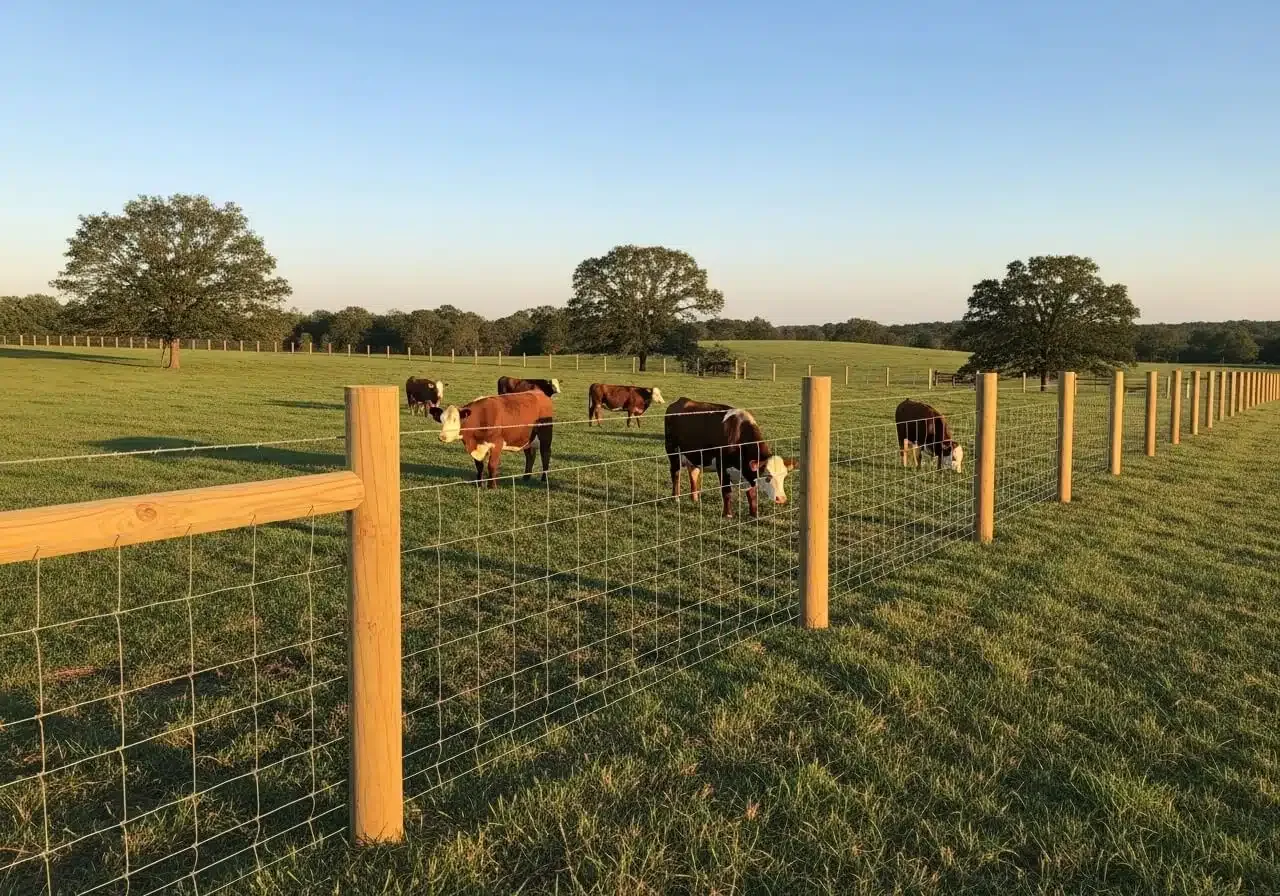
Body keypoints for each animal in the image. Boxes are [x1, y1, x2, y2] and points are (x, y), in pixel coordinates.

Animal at [664, 398, 796, 518]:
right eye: (768, 477)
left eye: (784, 476)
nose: (781, 498)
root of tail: (680, 401)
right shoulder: (722, 467)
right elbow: (727, 492)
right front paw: (727, 514)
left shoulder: (748, 472)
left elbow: (752, 494)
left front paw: (754, 514)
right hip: (673, 452)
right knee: (675, 474)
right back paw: (675, 498)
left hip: (695, 455)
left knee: (693, 473)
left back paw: (695, 498)